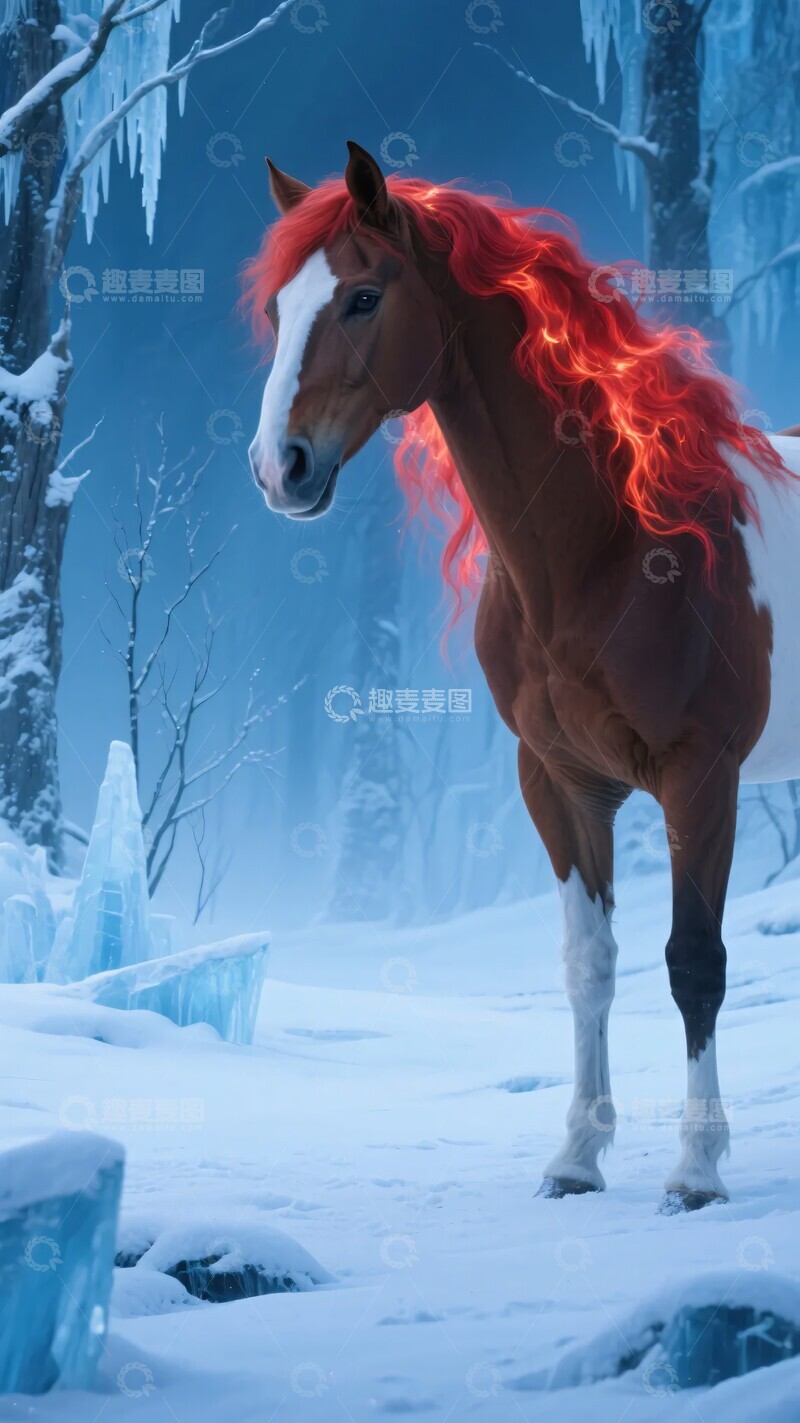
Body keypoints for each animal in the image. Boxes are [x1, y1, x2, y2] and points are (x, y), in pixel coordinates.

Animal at [244, 141, 800, 1212]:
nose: (277, 467)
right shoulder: (559, 782)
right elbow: (589, 964)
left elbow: (695, 963)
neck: (616, 544)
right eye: (280, 308)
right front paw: (576, 1156)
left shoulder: (699, 778)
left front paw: (696, 1171)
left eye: (364, 297)